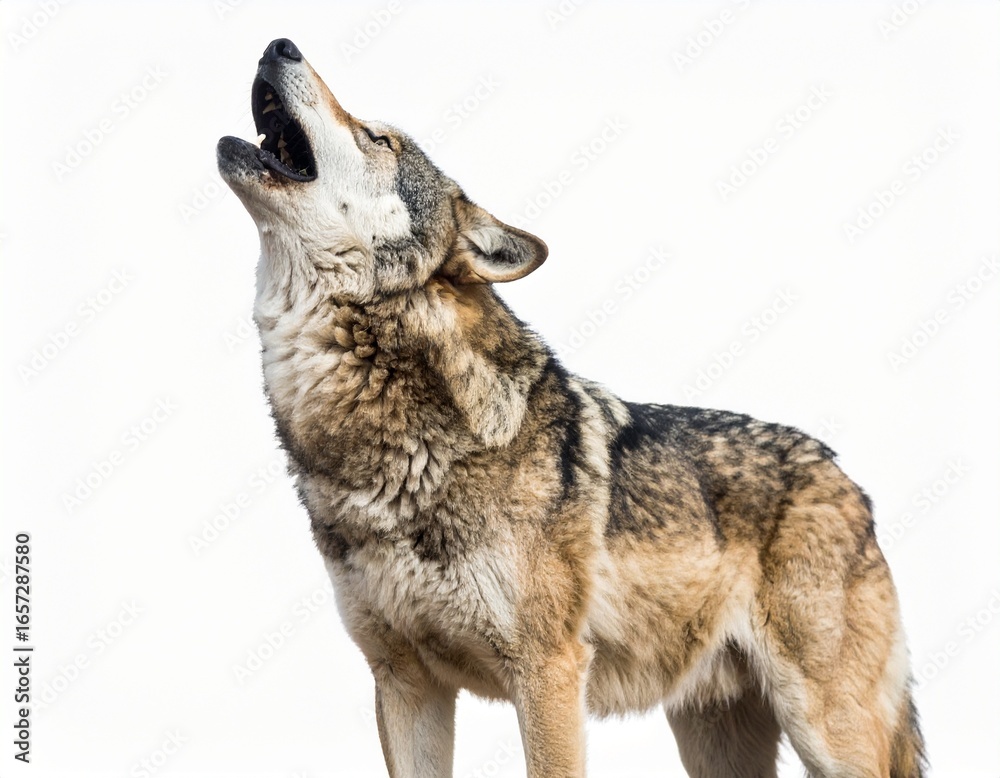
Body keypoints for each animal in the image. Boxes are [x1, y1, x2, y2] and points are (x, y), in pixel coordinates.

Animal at [217, 38, 925, 778]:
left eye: (378, 138)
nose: (279, 44)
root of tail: (848, 479)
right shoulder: (404, 680)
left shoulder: (548, 671)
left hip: (827, 728)